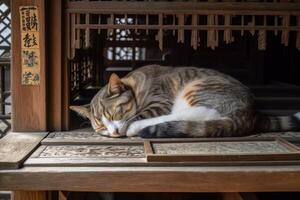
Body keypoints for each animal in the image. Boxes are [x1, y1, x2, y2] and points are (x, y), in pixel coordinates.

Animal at [71, 65, 300, 138]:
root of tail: (251, 113)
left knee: (200, 114)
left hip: (196, 90)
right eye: (101, 126)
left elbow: (141, 114)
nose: (114, 132)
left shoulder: (160, 101)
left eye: (115, 114)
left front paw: (130, 124)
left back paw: (138, 128)